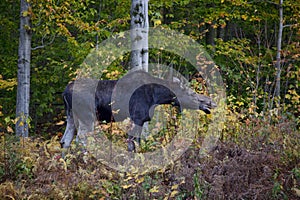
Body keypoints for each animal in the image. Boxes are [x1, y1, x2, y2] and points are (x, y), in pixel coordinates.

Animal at [60, 70, 216, 152]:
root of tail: (65, 91)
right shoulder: (138, 117)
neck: (157, 97)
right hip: (87, 117)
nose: (211, 102)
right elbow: (133, 145)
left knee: (65, 141)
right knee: (80, 140)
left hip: (71, 117)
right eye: (191, 94)